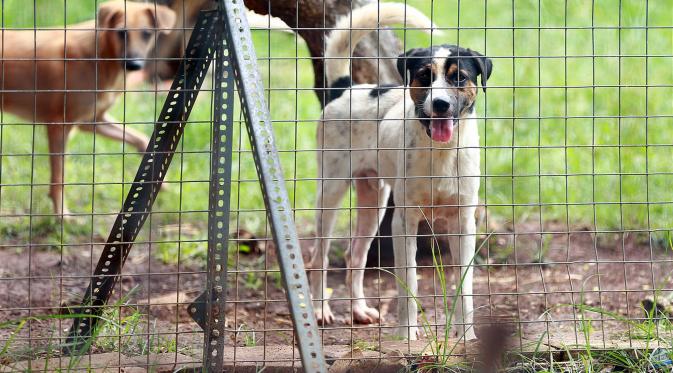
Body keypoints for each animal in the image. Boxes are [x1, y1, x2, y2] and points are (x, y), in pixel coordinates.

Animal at [0, 0, 176, 215]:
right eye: (121, 32)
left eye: (146, 33)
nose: (134, 65)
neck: (99, 59)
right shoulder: (59, 125)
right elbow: (59, 177)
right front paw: (62, 215)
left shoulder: (92, 120)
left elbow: (140, 138)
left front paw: (159, 182)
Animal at [308, 2, 490, 340]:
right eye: (424, 76)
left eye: (459, 77)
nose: (441, 104)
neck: (441, 152)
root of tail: (346, 88)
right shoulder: (404, 220)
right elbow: (409, 280)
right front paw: (407, 333)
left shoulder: (463, 221)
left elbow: (464, 285)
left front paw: (466, 336)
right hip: (330, 193)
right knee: (319, 257)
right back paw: (319, 311)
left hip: (374, 200)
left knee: (355, 256)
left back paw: (359, 310)